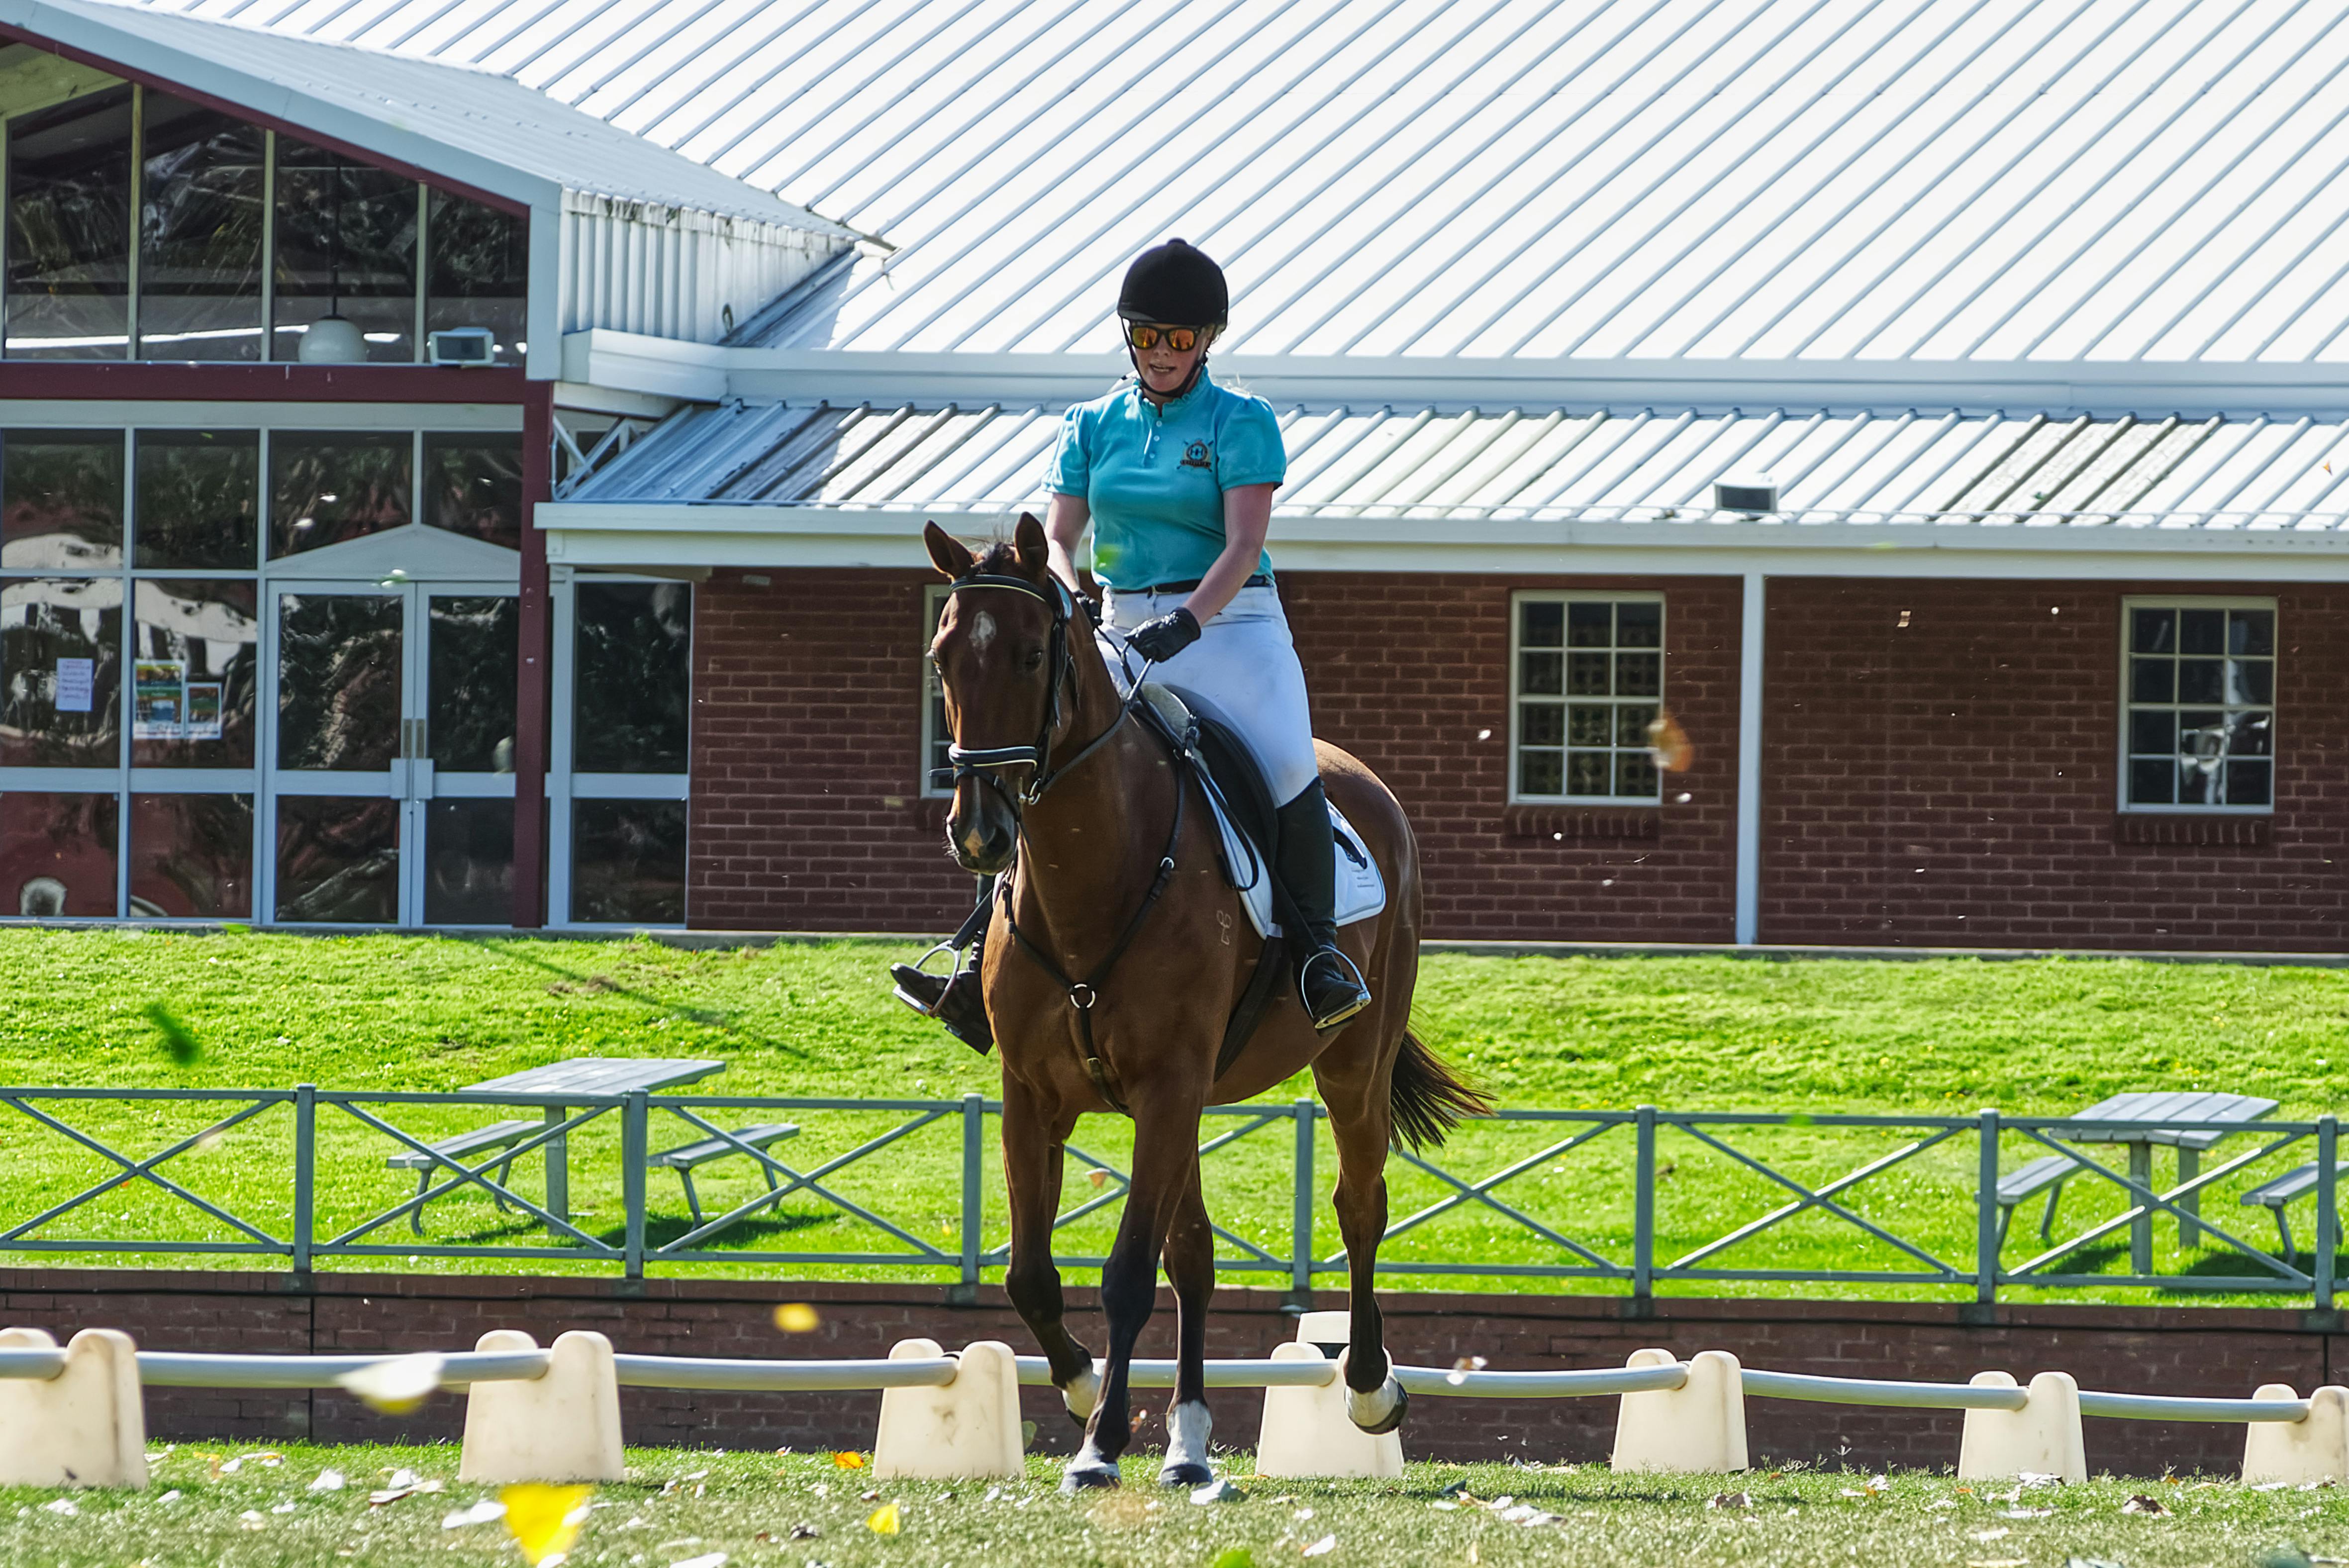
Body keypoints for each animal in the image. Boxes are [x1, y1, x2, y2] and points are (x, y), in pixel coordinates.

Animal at [922, 514, 1487, 1492]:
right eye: (942, 657)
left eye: (1032, 656)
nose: (979, 833)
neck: (1091, 872)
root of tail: (1363, 780)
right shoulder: (1034, 1096)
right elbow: (1033, 1273)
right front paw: (1079, 1388)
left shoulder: (1165, 1085)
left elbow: (1124, 1274)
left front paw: (1099, 1443)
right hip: (1189, 1105)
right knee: (1195, 1255)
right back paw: (1187, 1446)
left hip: (1350, 1067)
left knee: (1359, 1204)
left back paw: (1368, 1386)